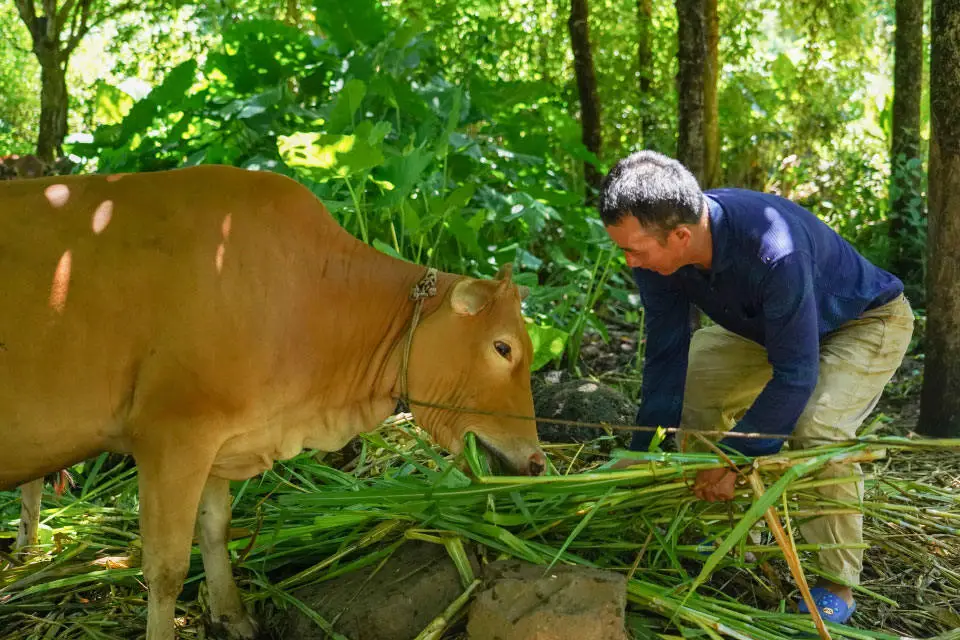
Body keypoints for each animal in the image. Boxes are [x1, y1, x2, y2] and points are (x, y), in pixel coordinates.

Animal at [0, 166, 544, 640]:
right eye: (503, 348)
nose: (539, 461)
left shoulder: (219, 440)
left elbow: (215, 530)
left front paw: (232, 616)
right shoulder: (172, 436)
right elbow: (166, 567)